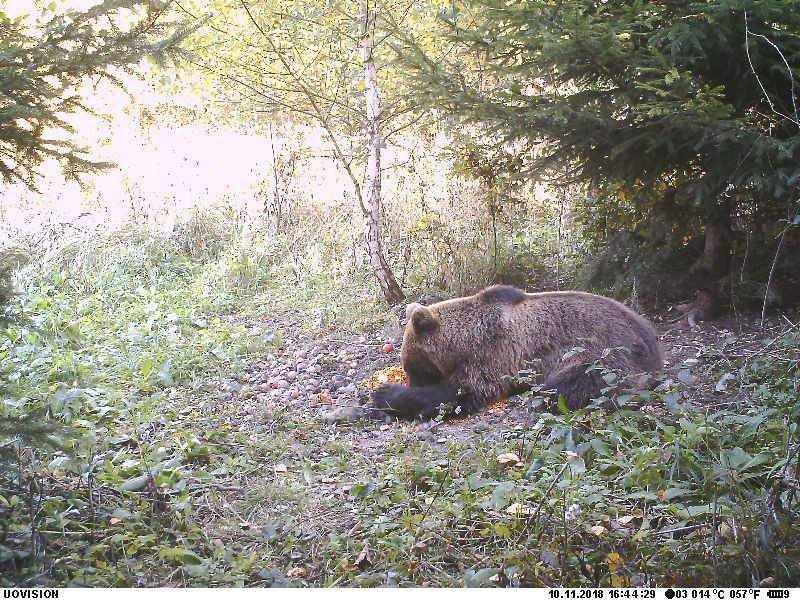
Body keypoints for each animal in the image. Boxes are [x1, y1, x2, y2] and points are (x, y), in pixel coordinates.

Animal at [372, 284, 664, 418]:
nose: (411, 381)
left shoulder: (493, 354)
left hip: (601, 354)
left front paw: (385, 394)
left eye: (414, 367)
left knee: (563, 387)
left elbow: (460, 393)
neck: (463, 341)